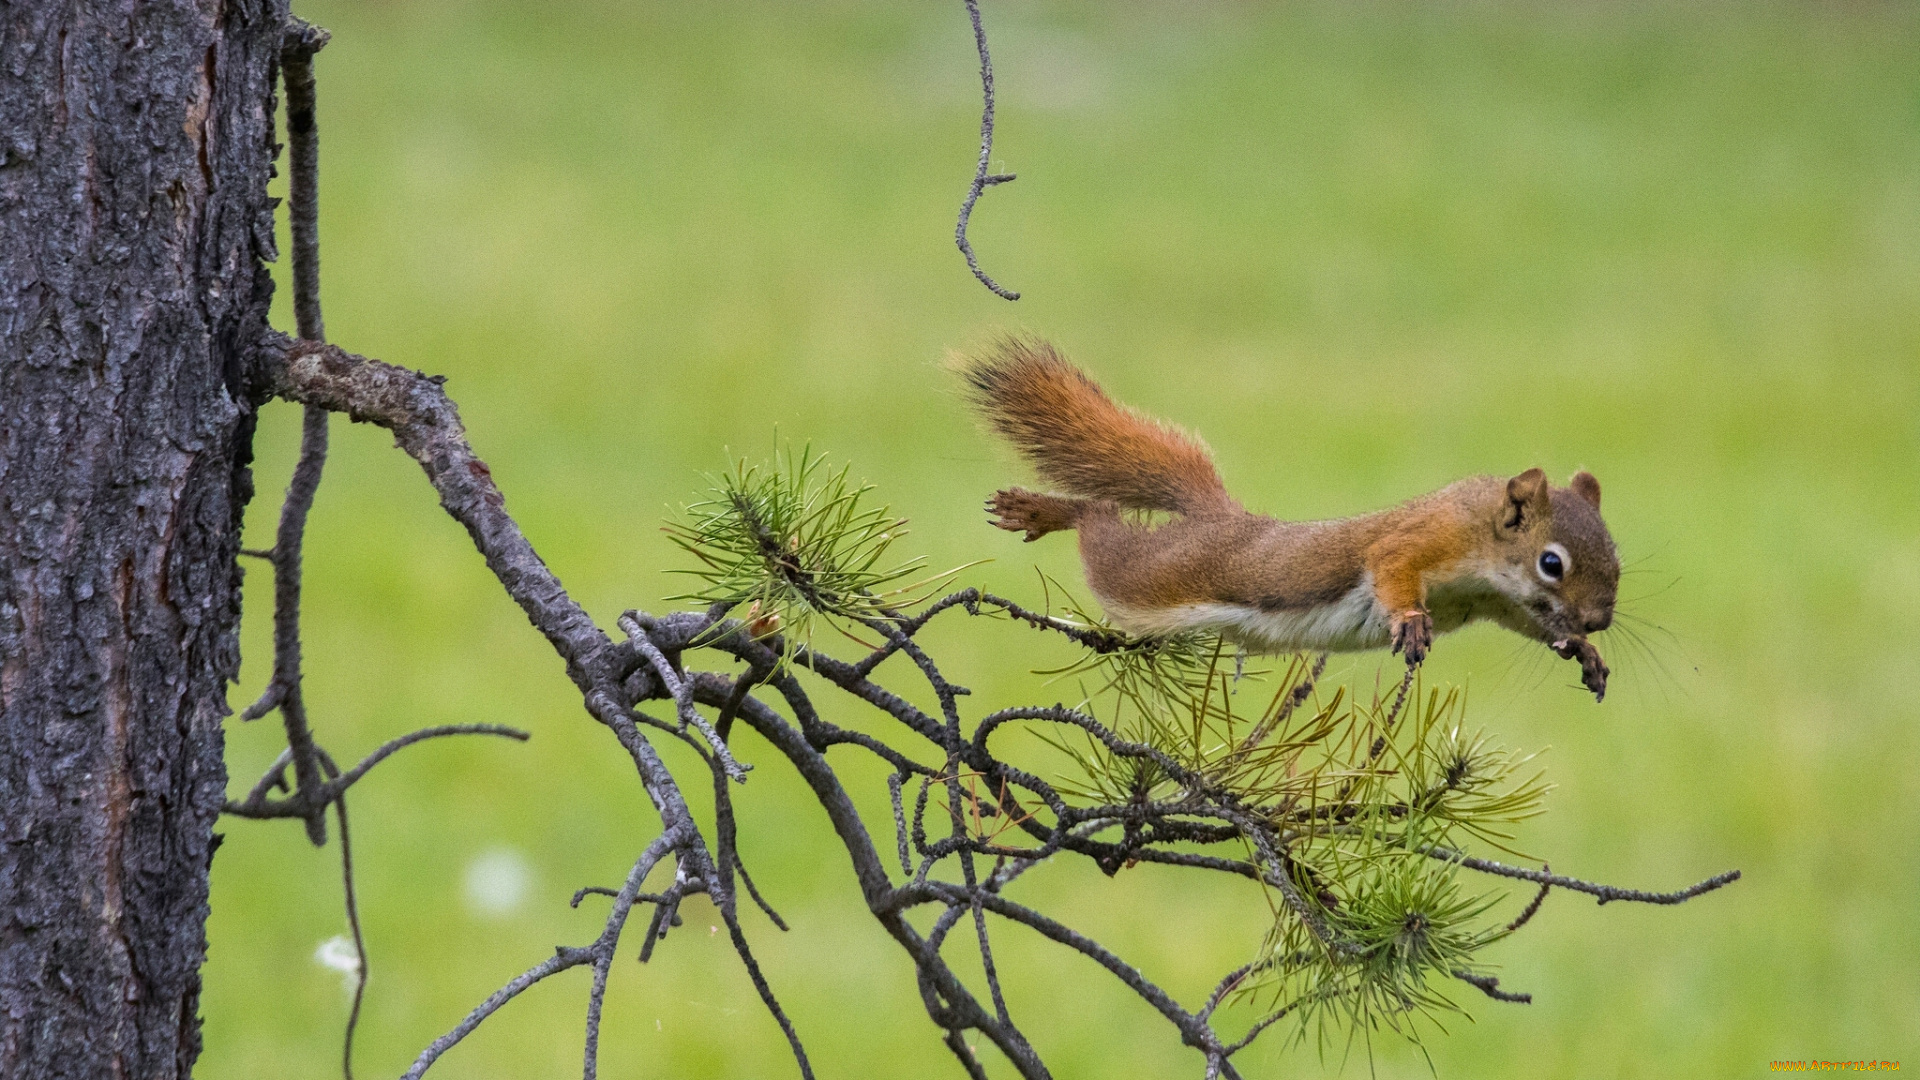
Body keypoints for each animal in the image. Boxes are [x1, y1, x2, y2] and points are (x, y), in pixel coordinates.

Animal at [967, 336, 1612, 699]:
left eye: (1615, 558)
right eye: (1551, 563)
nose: (1600, 620)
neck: (1483, 539)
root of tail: (1223, 518)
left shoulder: (1500, 603)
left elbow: (1532, 625)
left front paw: (1585, 652)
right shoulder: (1426, 539)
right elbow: (1392, 566)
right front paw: (1409, 620)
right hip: (1147, 579)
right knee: (1100, 523)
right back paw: (1044, 509)